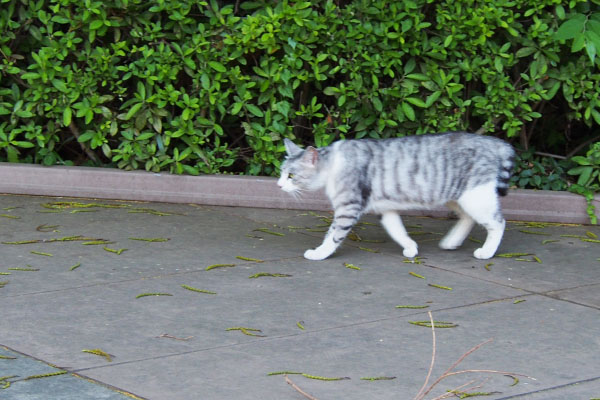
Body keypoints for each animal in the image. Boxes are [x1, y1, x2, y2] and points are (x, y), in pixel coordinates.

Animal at [278, 133, 516, 260]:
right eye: (281, 172)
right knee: (467, 218)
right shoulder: (385, 209)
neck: (332, 165)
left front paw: (320, 253)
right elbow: (397, 231)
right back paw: (451, 241)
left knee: (498, 222)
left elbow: (333, 235)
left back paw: (487, 251)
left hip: (475, 196)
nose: (279, 184)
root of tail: (493, 142)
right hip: (455, 196)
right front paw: (410, 247)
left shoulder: (348, 207)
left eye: (291, 176)